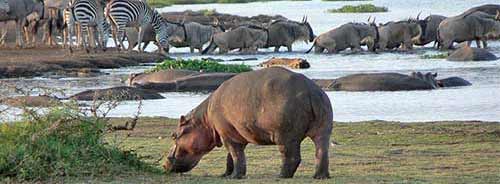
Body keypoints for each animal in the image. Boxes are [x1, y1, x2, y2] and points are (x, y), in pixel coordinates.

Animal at [164, 67, 334, 179]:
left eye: (174, 135)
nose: (164, 165)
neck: (204, 120)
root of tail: (311, 91)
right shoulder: (232, 133)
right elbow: (231, 157)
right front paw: (225, 174)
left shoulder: (228, 136)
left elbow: (236, 155)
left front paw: (234, 177)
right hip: (323, 128)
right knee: (322, 151)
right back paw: (320, 176)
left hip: (285, 136)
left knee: (291, 157)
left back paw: (281, 176)